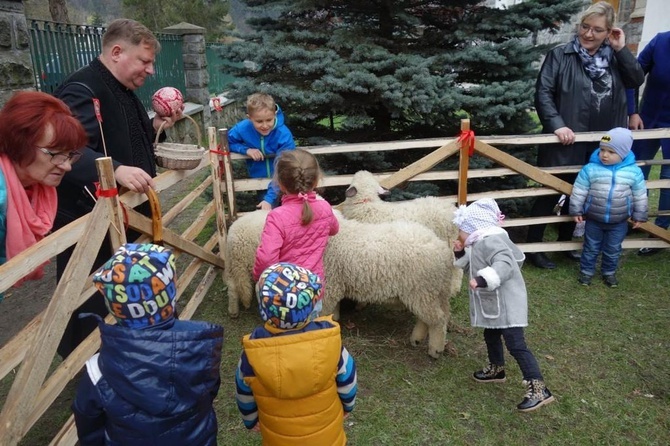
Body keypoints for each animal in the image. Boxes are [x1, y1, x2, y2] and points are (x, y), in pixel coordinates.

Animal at [224, 209, 456, 358]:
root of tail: (444, 252)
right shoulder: (335, 282)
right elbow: (332, 308)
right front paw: (335, 318)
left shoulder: (330, 282)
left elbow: (325, 308)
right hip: (432, 291)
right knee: (434, 316)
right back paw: (417, 338)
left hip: (421, 290)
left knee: (437, 320)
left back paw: (435, 349)